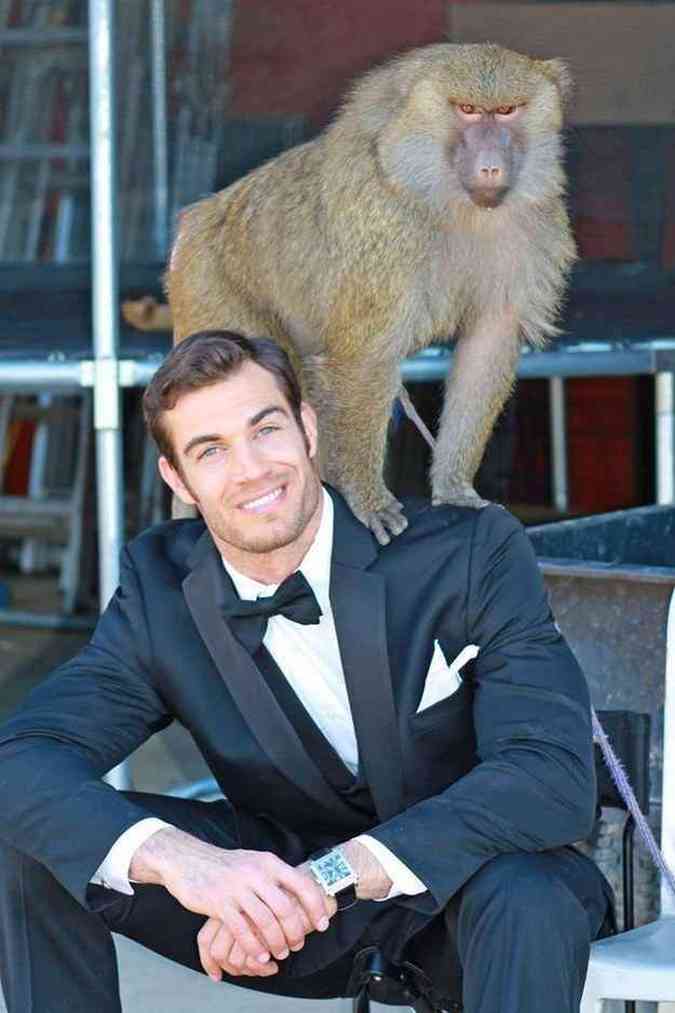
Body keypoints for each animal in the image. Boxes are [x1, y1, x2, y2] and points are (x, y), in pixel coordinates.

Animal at [131, 45, 571, 547]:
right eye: (467, 110)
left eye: (508, 110)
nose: (491, 166)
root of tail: (195, 223)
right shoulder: (384, 229)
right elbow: (364, 359)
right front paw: (368, 501)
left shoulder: (535, 228)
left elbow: (488, 342)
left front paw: (455, 488)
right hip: (206, 285)